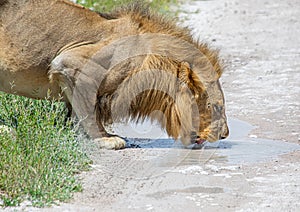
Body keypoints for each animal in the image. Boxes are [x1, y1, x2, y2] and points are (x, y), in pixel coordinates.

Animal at [0, 0, 229, 149]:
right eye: (217, 107)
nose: (225, 135)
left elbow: (76, 112)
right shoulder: (71, 63)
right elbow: (88, 112)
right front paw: (104, 139)